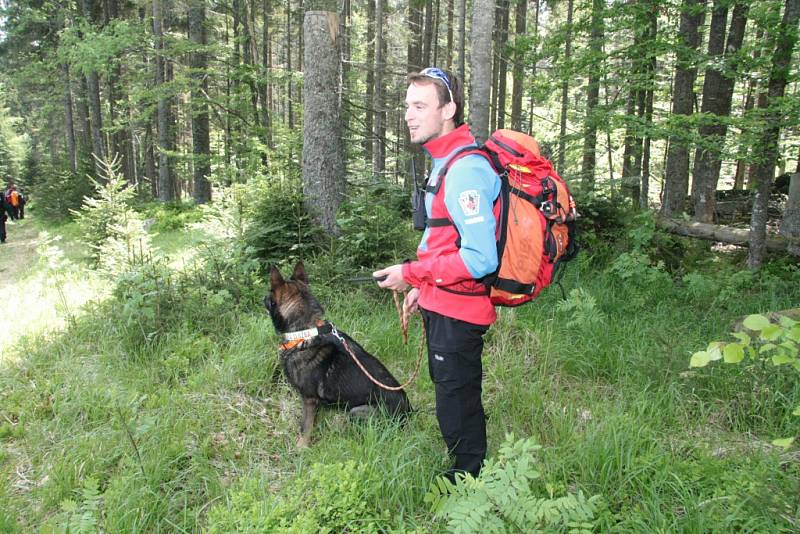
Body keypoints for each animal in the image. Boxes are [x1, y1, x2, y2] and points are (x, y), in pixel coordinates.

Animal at [266, 262, 412, 448]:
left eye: (269, 293)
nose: (263, 298)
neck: (304, 332)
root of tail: (409, 414)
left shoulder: (309, 399)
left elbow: (305, 427)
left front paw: (301, 447)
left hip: (356, 411)